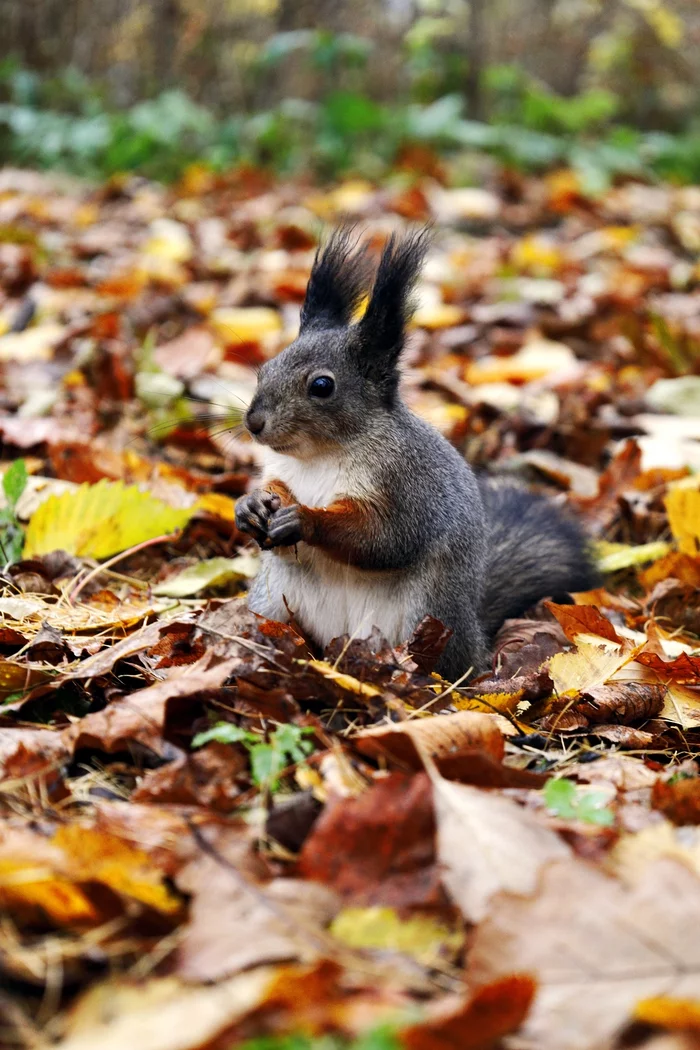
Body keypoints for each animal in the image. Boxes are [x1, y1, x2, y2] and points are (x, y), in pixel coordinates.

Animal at [234, 227, 596, 680]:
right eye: (264, 369)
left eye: (321, 386)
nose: (254, 422)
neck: (319, 456)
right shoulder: (282, 472)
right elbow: (276, 500)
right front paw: (250, 506)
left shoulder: (410, 487)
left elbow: (385, 539)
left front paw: (304, 518)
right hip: (271, 602)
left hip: (424, 616)